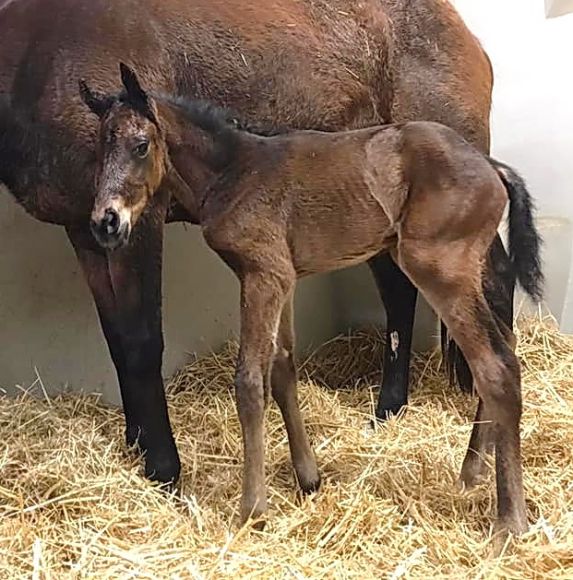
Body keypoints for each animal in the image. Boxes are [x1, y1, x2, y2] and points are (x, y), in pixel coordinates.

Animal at [0, 0, 510, 484]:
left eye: (141, 147)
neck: (41, 45)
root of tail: (468, 41)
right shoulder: (88, 232)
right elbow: (117, 340)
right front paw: (137, 443)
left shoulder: (136, 225)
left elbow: (142, 340)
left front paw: (164, 466)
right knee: (400, 293)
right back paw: (388, 408)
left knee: (495, 286)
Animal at [79, 67, 540, 540]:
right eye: (98, 150)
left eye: (140, 145)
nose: (105, 222)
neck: (233, 171)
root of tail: (492, 167)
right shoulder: (283, 279)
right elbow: (283, 367)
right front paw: (308, 477)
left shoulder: (261, 275)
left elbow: (249, 381)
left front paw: (252, 509)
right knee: (507, 348)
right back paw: (472, 473)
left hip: (439, 270)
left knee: (496, 367)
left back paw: (509, 520)